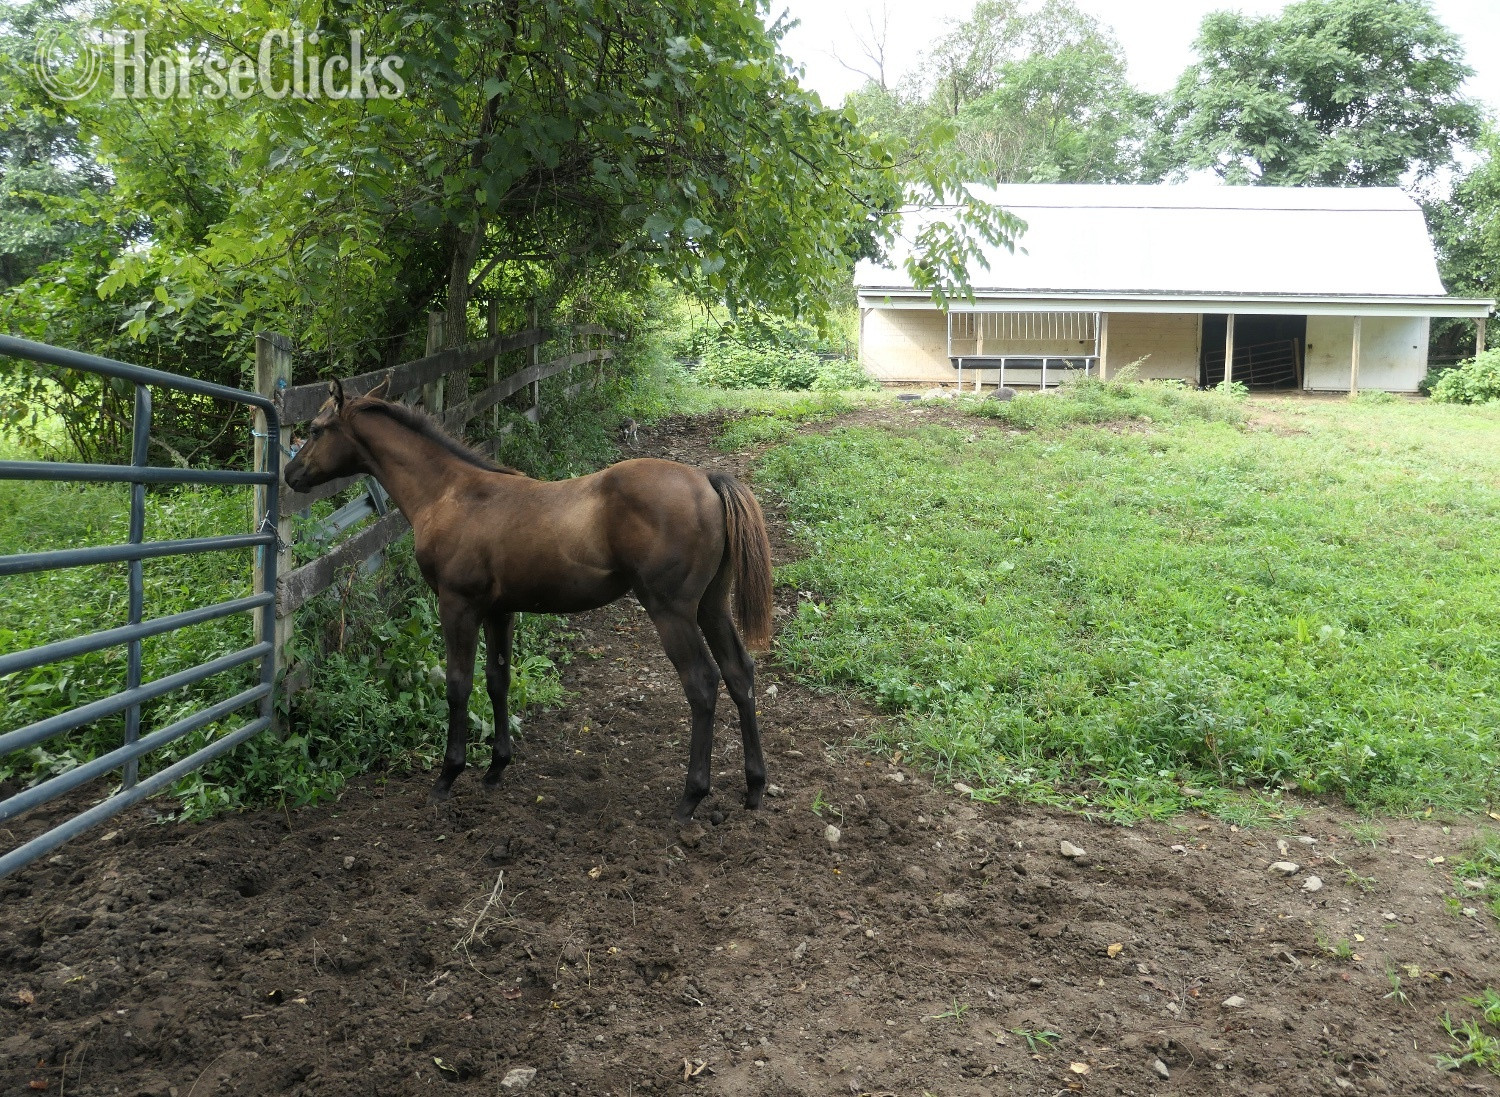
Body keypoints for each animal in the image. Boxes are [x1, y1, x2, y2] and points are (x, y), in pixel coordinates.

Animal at [282, 378, 773, 824]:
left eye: (316, 429)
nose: (290, 477)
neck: (450, 493)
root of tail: (707, 480)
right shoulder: (500, 611)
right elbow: (498, 681)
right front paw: (496, 768)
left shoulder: (458, 606)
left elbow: (459, 685)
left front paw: (448, 775)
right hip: (712, 606)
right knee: (739, 672)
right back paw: (754, 787)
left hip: (671, 611)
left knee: (702, 684)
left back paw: (691, 797)